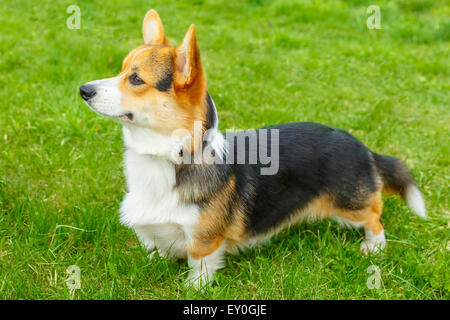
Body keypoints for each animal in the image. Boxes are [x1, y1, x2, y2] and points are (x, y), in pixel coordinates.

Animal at [79, 10, 428, 290]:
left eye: (136, 79)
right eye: (121, 69)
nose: (83, 90)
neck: (170, 156)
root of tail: (360, 145)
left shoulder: (204, 240)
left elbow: (200, 265)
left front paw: (193, 289)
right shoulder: (154, 236)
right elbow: (156, 251)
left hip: (350, 205)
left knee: (375, 217)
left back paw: (374, 247)